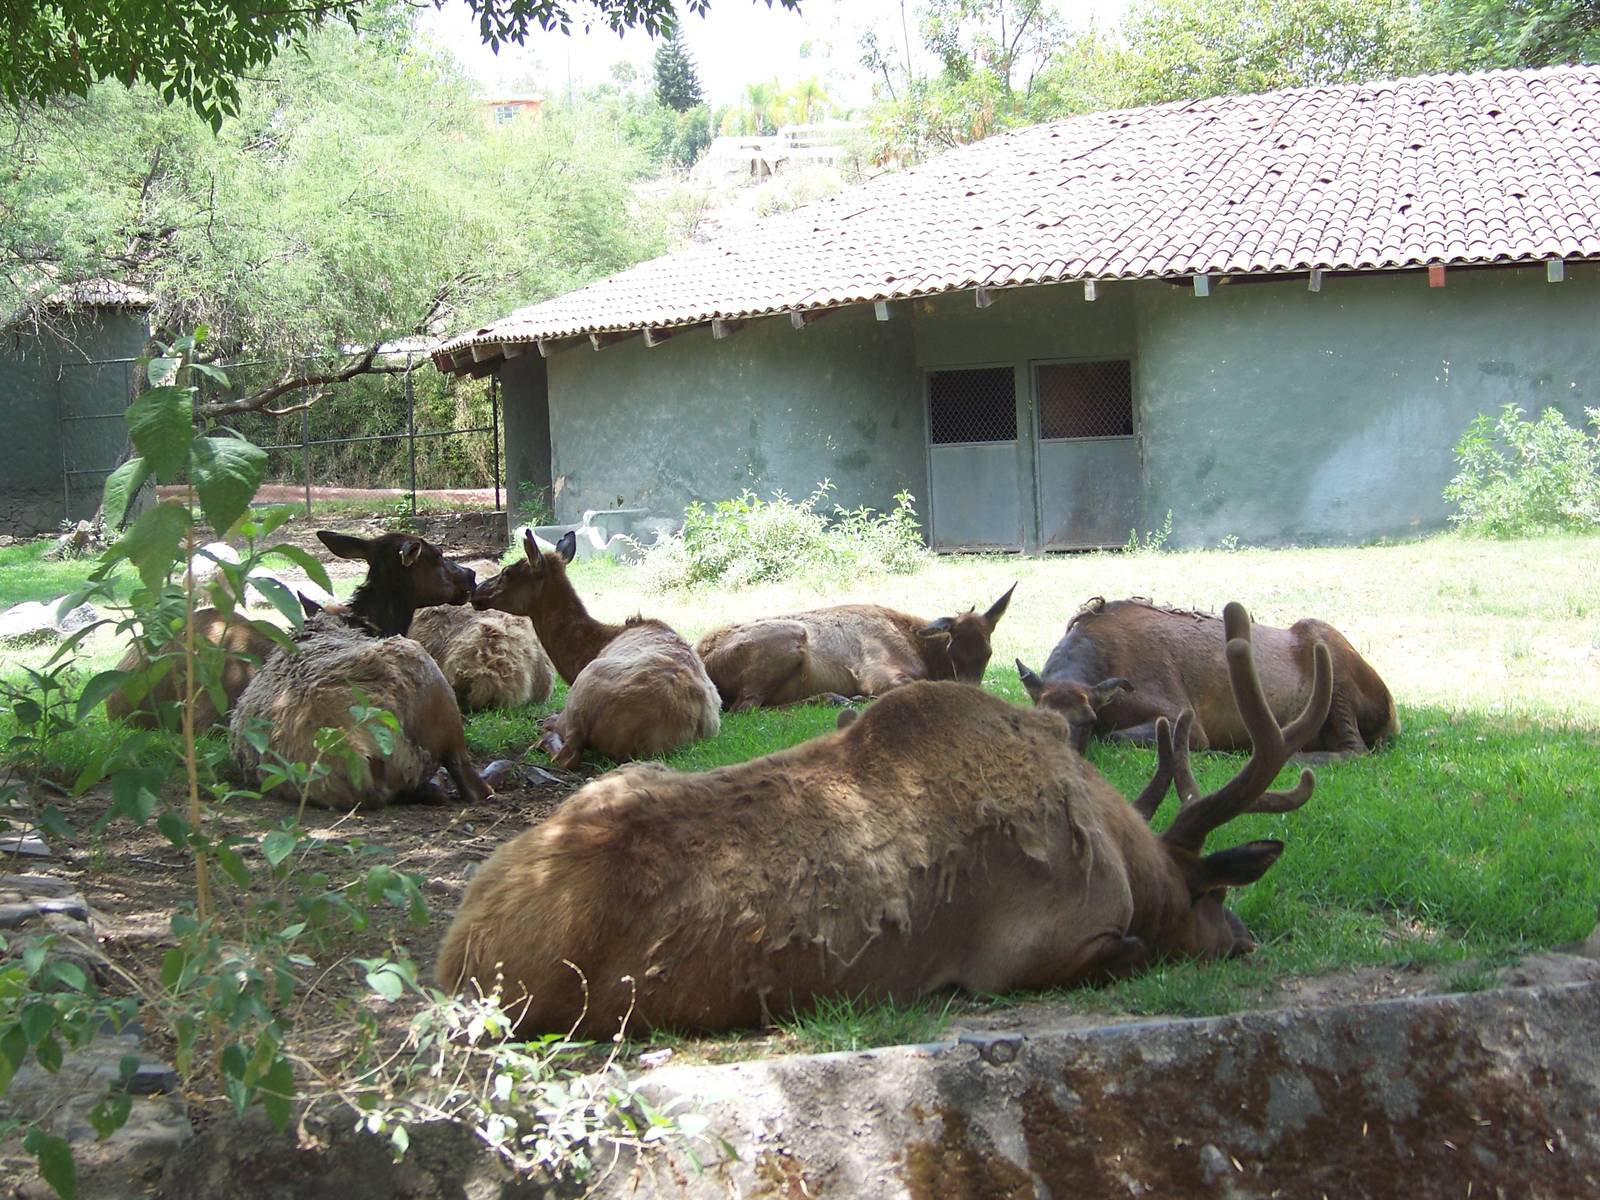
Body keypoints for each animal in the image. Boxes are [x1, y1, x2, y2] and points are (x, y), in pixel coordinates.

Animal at [436, 602, 1332, 1037]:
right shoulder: (1031, 953)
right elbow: (1137, 948)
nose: (1245, 939)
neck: (1128, 860)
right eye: (1217, 892)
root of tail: (453, 957)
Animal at [695, 584, 1016, 711]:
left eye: (988, 654)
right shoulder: (877, 673)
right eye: (952, 654)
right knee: (745, 707)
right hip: (790, 636)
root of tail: (703, 657)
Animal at [1015, 597, 1397, 757]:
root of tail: (1393, 713)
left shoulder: (1186, 720)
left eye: (1089, 720)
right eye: (1033, 720)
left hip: (1332, 659)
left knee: (1355, 750)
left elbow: (1113, 737)